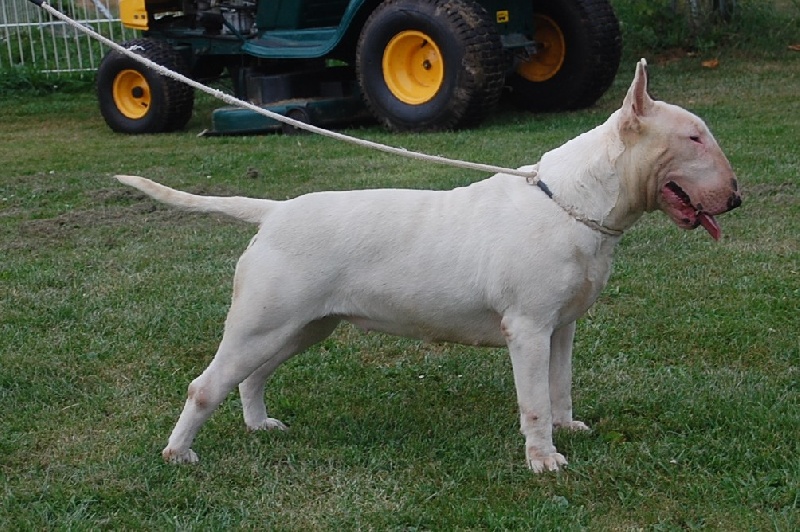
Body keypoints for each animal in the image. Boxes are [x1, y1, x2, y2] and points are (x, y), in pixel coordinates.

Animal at [115, 60, 740, 472]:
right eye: (692, 137)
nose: (734, 199)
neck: (576, 201)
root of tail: (275, 212)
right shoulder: (528, 330)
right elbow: (534, 400)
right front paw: (544, 460)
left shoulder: (561, 327)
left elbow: (559, 386)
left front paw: (569, 429)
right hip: (262, 321)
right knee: (206, 385)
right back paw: (179, 453)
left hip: (303, 326)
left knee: (252, 376)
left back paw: (258, 425)